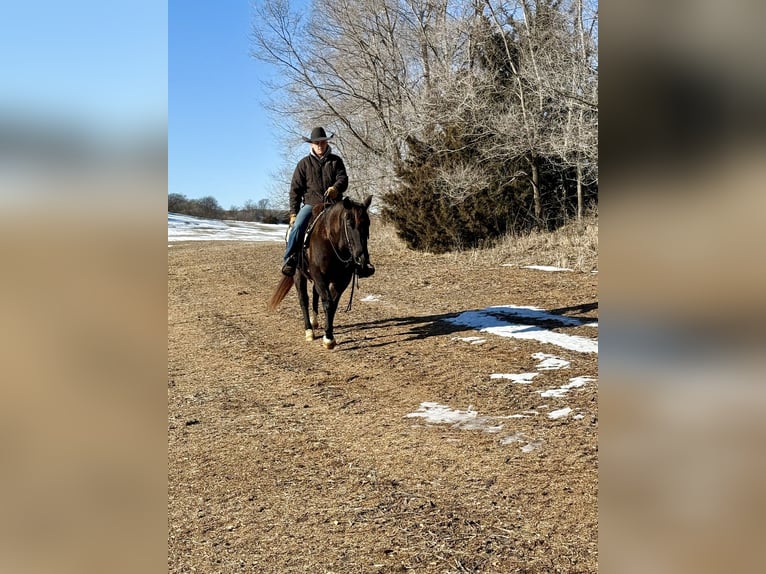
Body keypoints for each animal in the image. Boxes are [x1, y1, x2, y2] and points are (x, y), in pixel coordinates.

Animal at [268, 195, 373, 349]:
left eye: (367, 223)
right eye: (349, 223)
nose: (362, 260)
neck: (330, 241)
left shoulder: (341, 281)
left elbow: (333, 304)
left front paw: (328, 333)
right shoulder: (320, 277)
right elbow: (328, 303)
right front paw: (328, 338)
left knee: (315, 295)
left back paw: (315, 322)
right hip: (298, 275)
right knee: (304, 299)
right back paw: (309, 330)